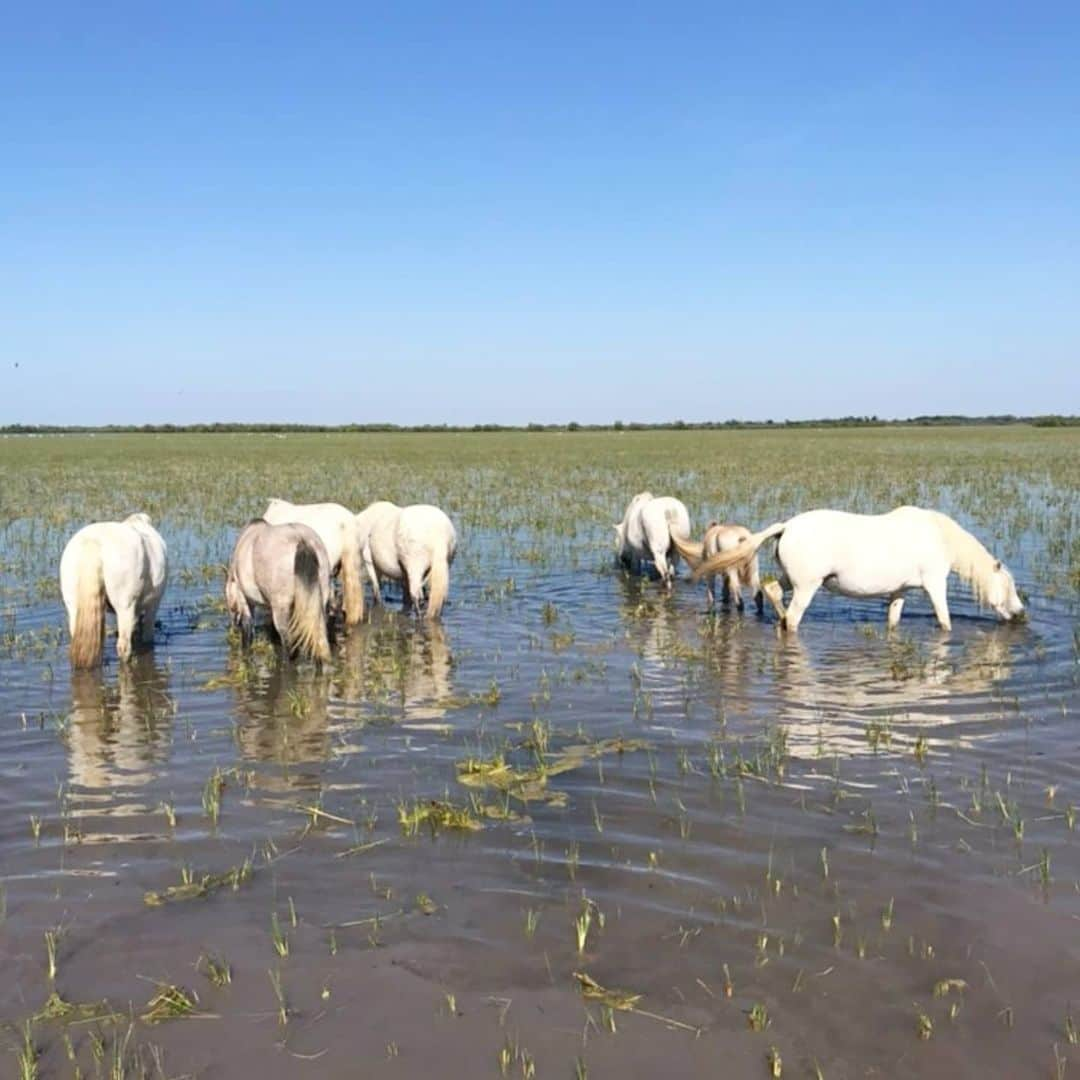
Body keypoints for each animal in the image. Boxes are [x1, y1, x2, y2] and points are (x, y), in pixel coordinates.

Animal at [58, 511, 167, 665]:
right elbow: (147, 637)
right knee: (123, 647)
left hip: (73, 606)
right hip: (125, 606)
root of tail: (94, 543)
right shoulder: (153, 605)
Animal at [686, 505, 1023, 630]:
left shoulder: (899, 591)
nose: (1020, 614)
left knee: (771, 590)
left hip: (792, 580)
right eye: (1009, 585)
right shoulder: (935, 585)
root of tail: (786, 527)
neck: (939, 536)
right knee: (793, 619)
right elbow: (944, 621)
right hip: (807, 587)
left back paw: (778, 619)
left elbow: (893, 619)